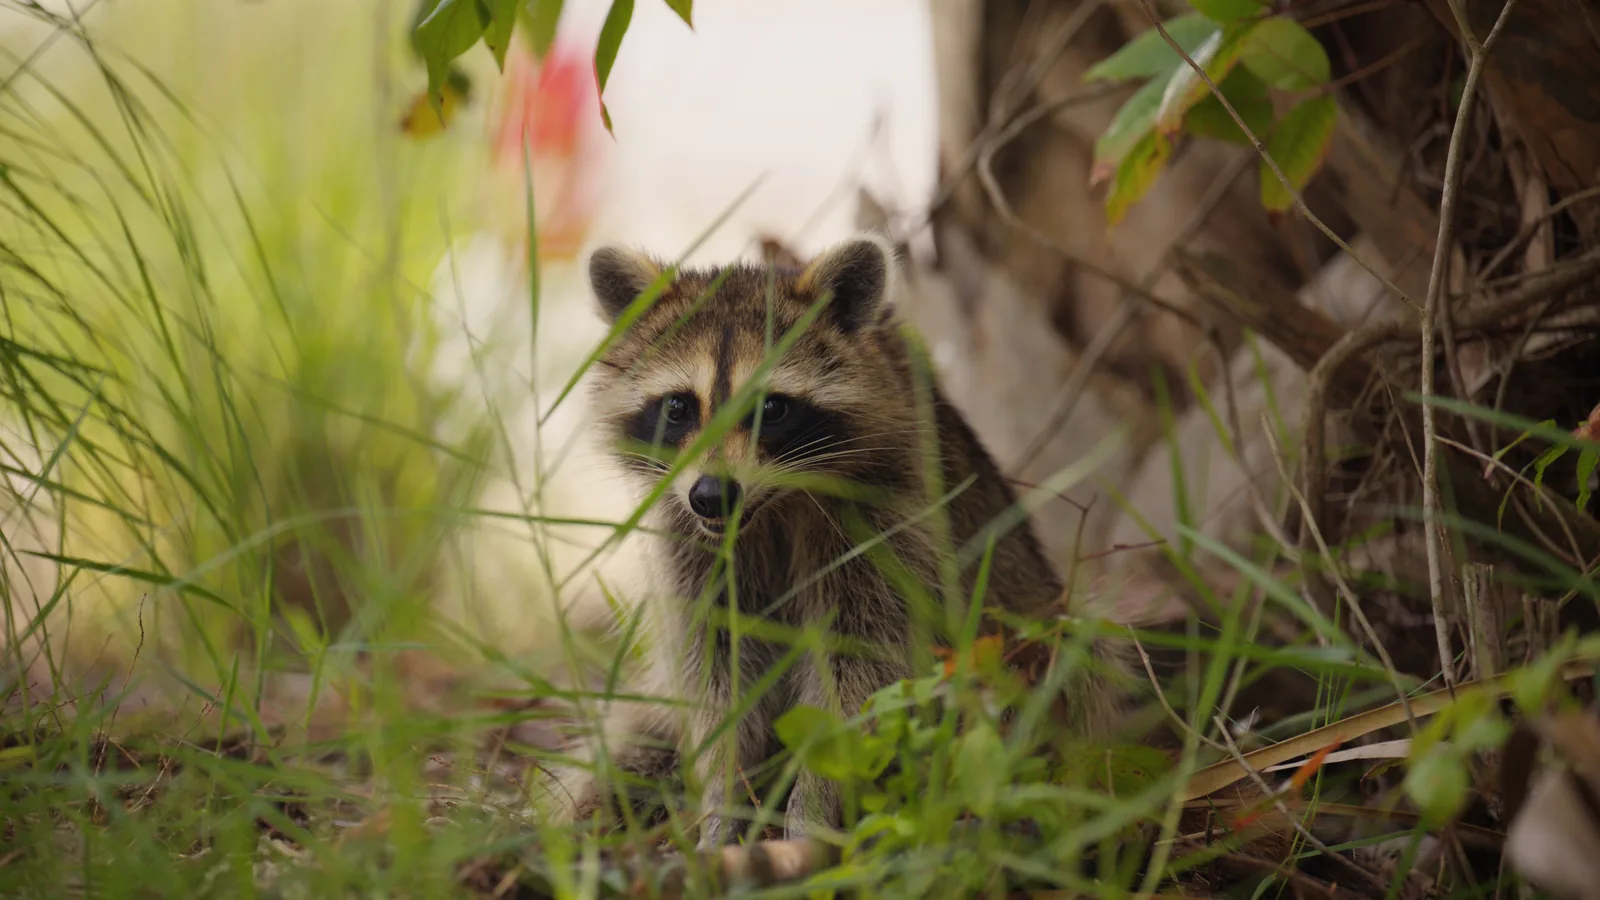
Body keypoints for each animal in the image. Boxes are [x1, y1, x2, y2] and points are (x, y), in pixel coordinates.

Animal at [543, 234, 1126, 848]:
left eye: (772, 408)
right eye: (678, 407)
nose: (713, 495)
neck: (769, 509)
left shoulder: (886, 518)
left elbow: (858, 667)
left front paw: (813, 807)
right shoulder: (690, 541)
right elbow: (717, 669)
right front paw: (724, 797)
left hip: (1026, 634)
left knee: (1066, 661)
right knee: (626, 750)